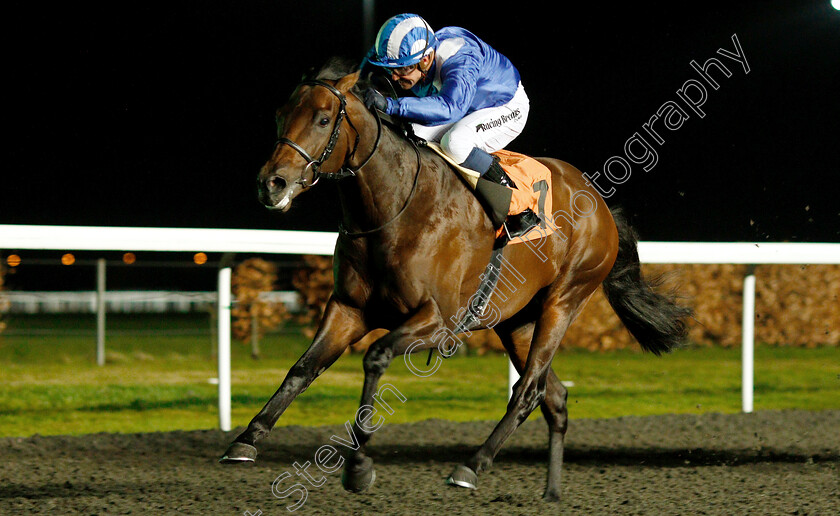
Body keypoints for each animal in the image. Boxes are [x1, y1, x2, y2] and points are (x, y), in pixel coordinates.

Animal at [220, 58, 692, 502]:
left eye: (322, 119)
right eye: (280, 115)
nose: (271, 184)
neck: (395, 208)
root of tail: (599, 202)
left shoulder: (439, 320)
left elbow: (375, 356)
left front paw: (357, 466)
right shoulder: (347, 309)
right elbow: (302, 368)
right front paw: (246, 439)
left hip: (564, 300)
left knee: (528, 390)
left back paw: (471, 466)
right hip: (515, 321)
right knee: (553, 397)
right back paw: (551, 492)